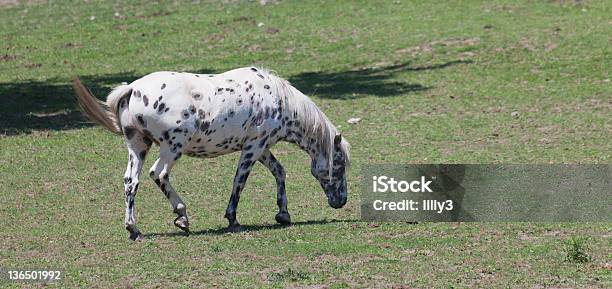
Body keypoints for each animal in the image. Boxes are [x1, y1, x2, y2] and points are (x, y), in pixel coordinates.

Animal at [73, 66, 350, 240]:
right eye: (339, 165)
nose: (341, 201)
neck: (276, 98)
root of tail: (133, 89)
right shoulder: (253, 148)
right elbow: (239, 182)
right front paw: (233, 219)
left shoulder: (261, 148)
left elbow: (279, 172)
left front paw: (283, 214)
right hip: (172, 148)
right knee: (158, 174)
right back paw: (182, 216)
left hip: (138, 147)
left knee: (132, 182)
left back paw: (134, 229)